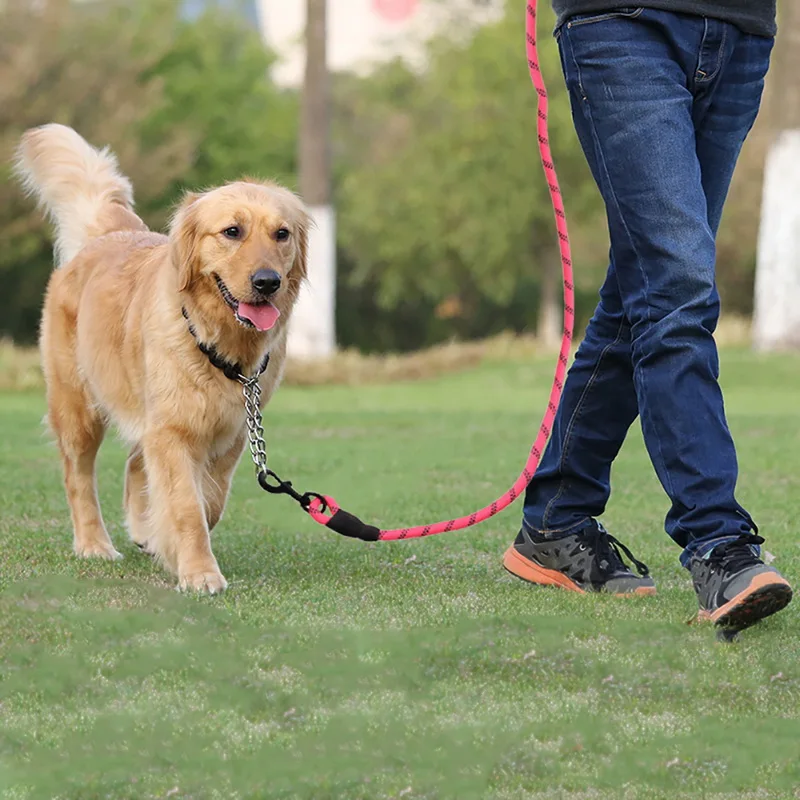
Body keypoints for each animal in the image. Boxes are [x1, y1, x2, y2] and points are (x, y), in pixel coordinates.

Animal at [16, 122, 310, 592]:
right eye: (232, 232)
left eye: (282, 234)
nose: (268, 282)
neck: (218, 345)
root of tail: (109, 233)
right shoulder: (173, 429)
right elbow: (187, 507)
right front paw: (199, 572)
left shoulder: (230, 433)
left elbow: (209, 502)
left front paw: (163, 539)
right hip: (78, 408)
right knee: (78, 477)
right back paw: (94, 544)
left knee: (137, 460)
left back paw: (142, 529)